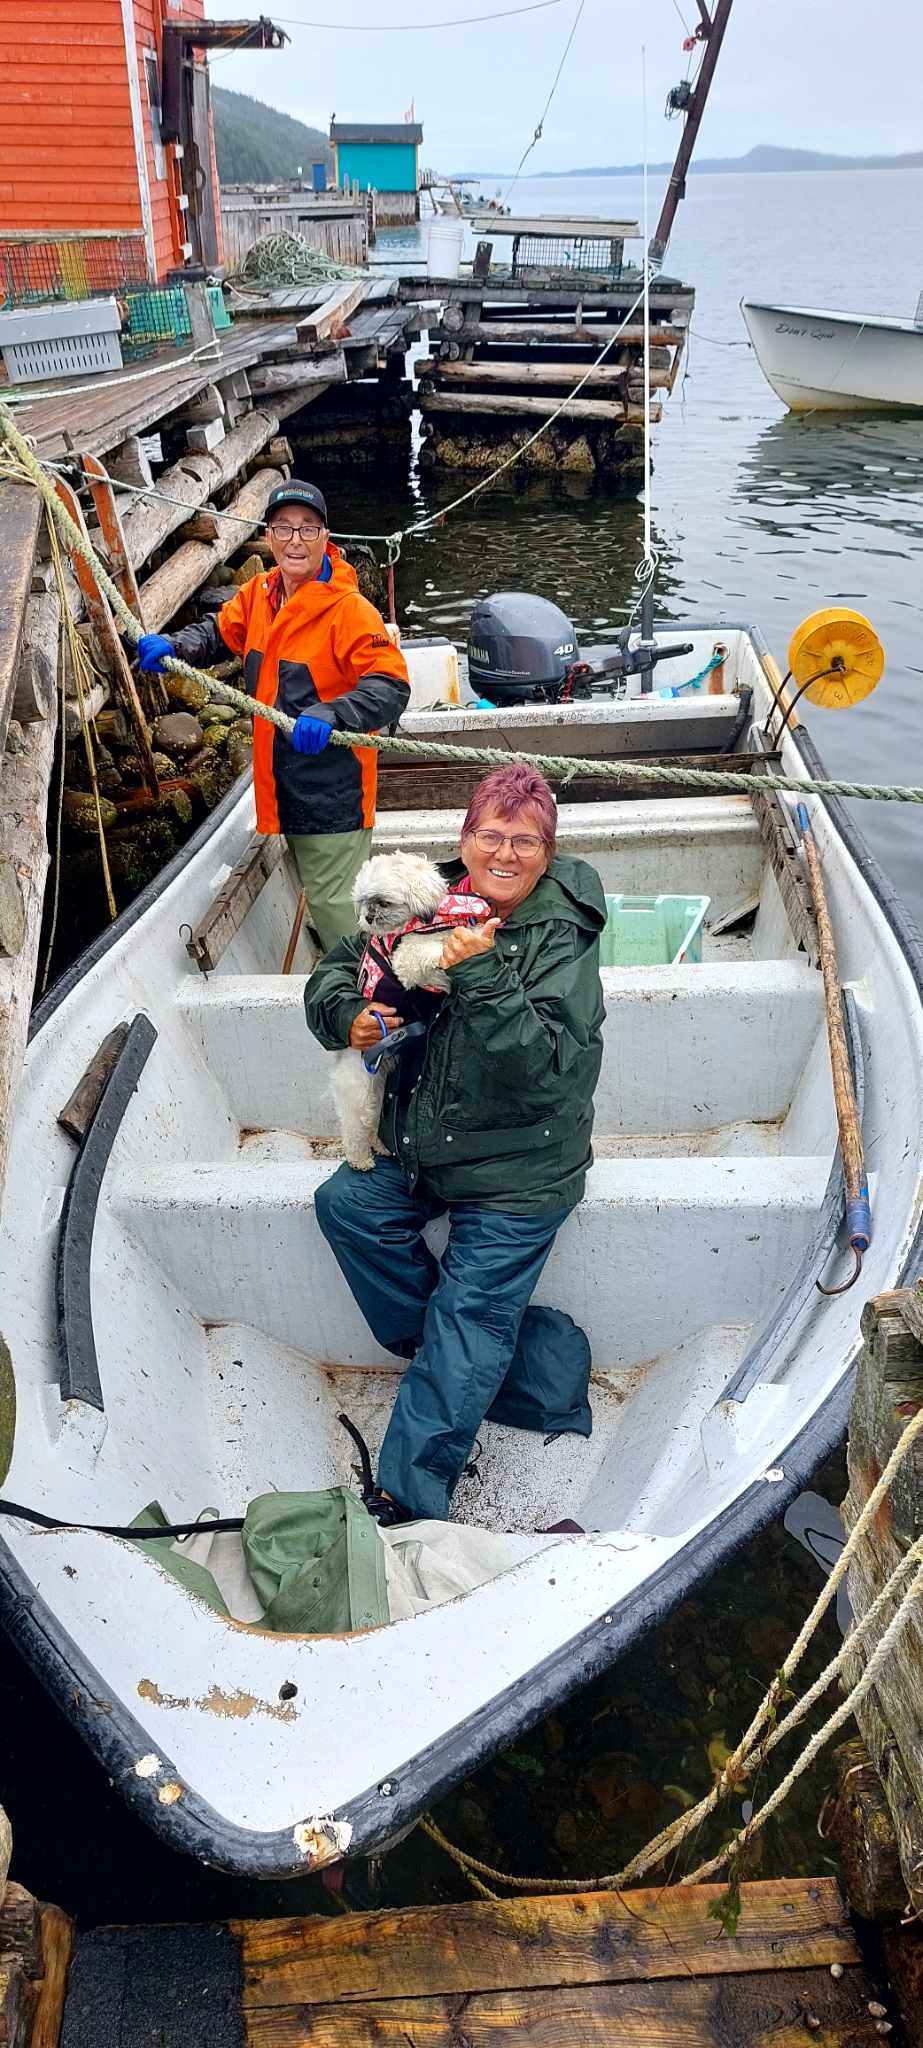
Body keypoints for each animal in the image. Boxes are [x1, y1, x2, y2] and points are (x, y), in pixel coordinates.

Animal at [331, 847, 462, 1171]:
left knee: (374, 1126)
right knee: (355, 1126)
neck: (420, 923)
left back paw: (381, 1147)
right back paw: (361, 1160)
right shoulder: (406, 960)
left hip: (379, 1086)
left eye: (382, 901)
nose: (367, 918)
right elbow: (433, 956)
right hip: (361, 1091)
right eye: (363, 903)